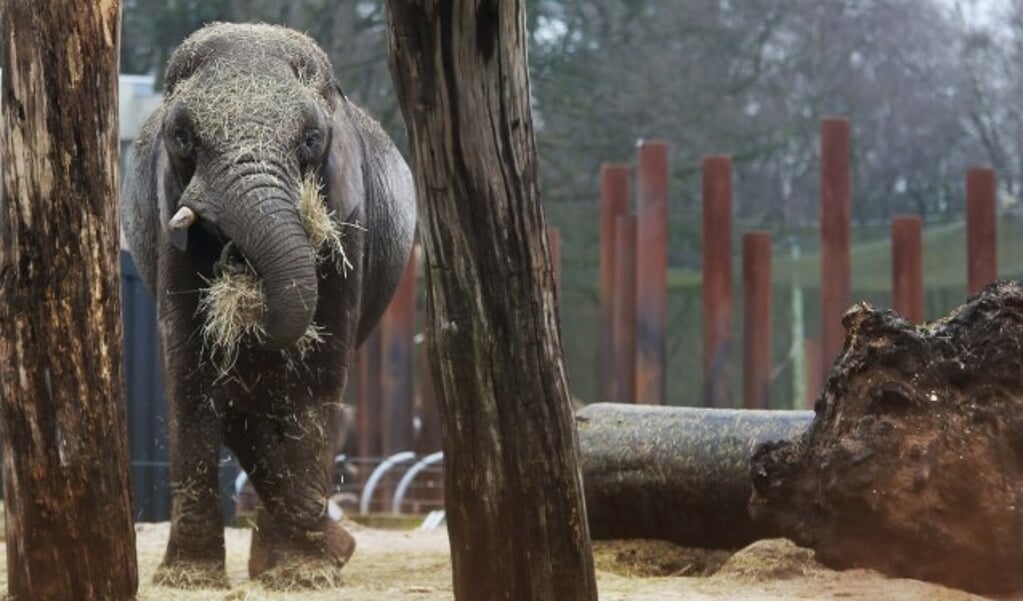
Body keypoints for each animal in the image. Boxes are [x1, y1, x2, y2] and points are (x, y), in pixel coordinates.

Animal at [121, 22, 417, 589]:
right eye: (182, 137)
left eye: (311, 139)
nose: (240, 264)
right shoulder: (166, 214)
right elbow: (192, 368)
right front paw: (190, 579)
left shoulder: (349, 214)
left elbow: (317, 371)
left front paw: (305, 576)